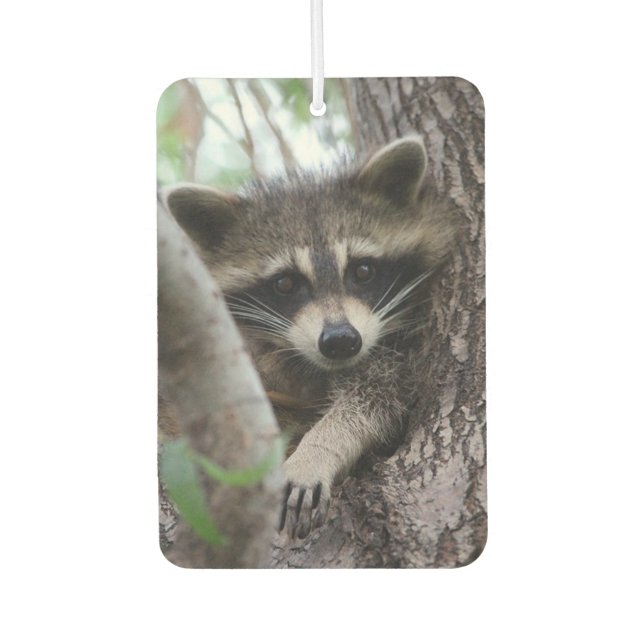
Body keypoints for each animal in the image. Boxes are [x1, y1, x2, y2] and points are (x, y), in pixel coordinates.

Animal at [164, 137, 458, 539]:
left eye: (363, 271)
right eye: (286, 284)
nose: (341, 340)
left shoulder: (399, 354)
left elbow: (373, 400)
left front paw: (317, 449)